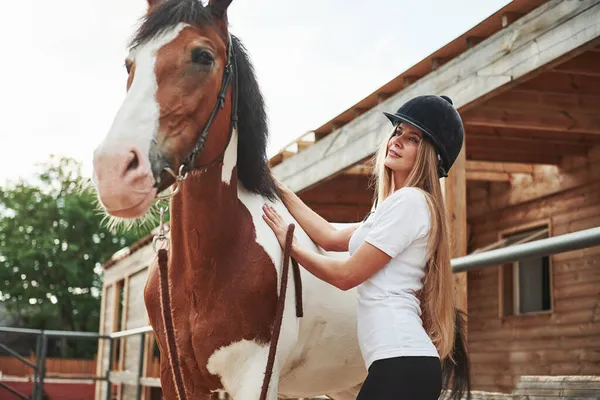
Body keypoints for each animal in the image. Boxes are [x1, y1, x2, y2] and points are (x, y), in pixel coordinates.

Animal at [91, 0, 472, 400]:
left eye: (203, 56)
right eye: (130, 64)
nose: (114, 169)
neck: (207, 265)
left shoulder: (255, 375)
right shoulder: (177, 377)